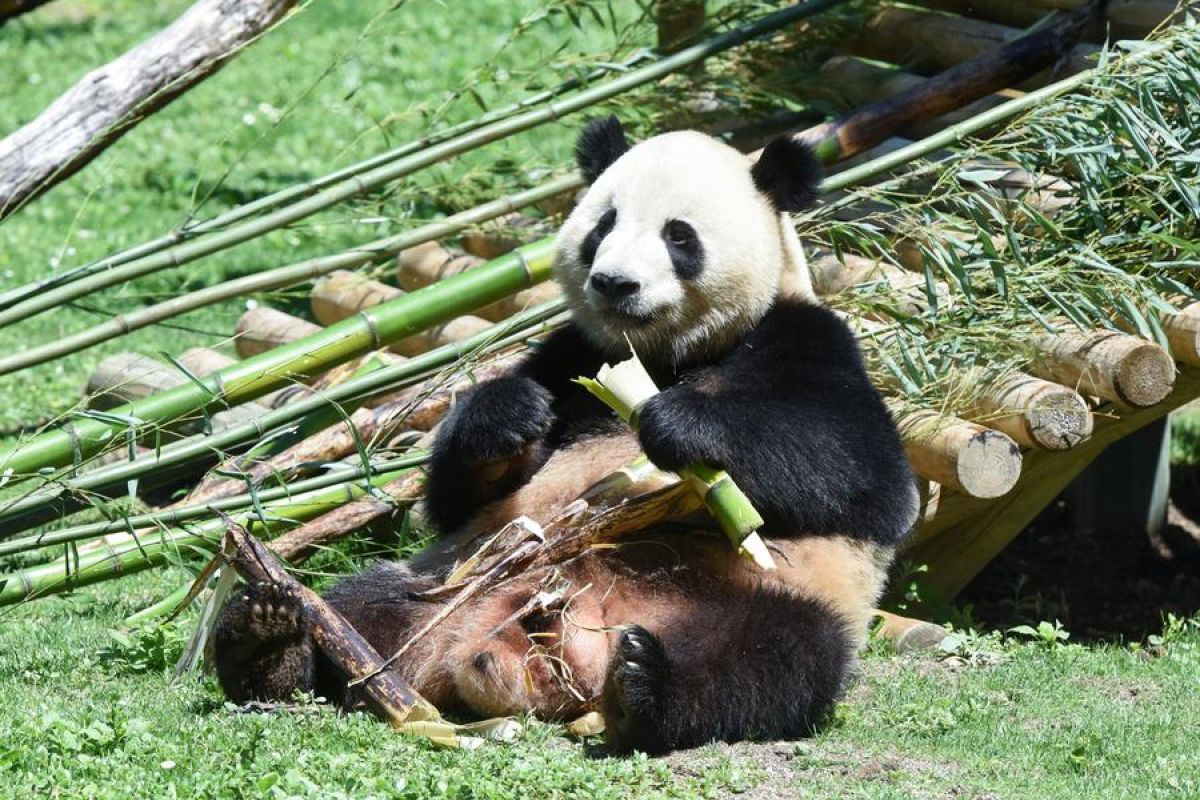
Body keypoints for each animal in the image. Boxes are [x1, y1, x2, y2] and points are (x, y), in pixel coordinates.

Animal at [213, 115, 916, 753]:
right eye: (604, 224)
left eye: (679, 236)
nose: (614, 282)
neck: (660, 356)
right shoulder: (571, 354)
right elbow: (454, 496)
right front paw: (509, 417)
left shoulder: (804, 338)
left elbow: (867, 477)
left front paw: (677, 424)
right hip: (457, 577)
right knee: (363, 606)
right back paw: (269, 641)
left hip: (769, 594)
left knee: (767, 662)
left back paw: (645, 687)